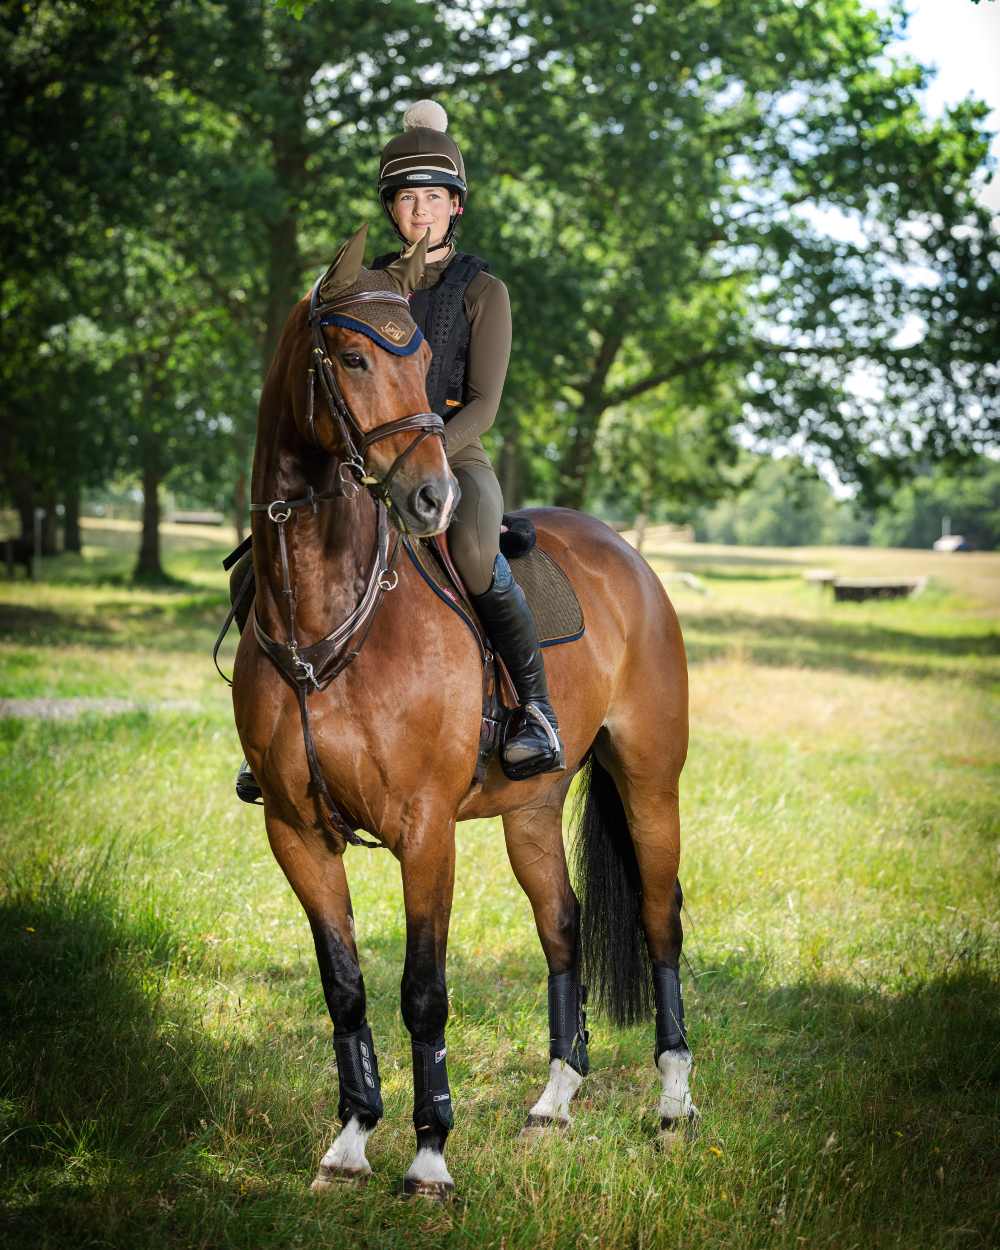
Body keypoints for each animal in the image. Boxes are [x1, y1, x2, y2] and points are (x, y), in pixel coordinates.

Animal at [230, 225, 690, 1200]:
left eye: (419, 362)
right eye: (353, 357)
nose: (432, 497)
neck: (328, 612)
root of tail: (627, 557)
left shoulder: (424, 828)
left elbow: (423, 990)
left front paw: (430, 1154)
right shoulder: (295, 831)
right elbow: (346, 988)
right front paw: (350, 1141)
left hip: (649, 782)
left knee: (659, 916)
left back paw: (674, 1101)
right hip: (531, 807)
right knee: (562, 926)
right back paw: (556, 1098)